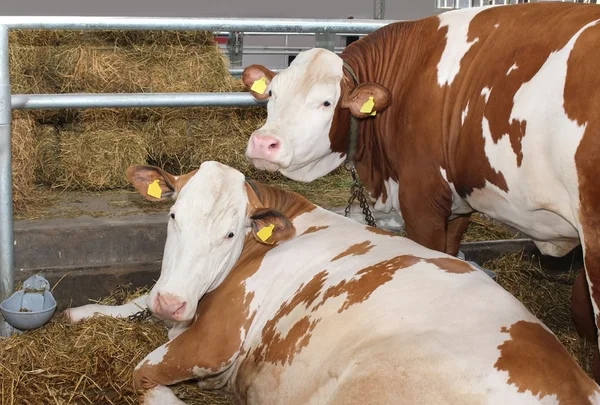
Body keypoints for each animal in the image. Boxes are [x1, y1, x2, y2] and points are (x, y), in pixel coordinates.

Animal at [67, 162, 600, 404]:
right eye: (173, 215)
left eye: (231, 233)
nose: (173, 303)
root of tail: (578, 380)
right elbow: (134, 299)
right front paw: (80, 312)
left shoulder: (215, 339)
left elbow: (142, 372)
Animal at [241, 1, 600, 382]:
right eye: (272, 94)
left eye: (326, 102)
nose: (264, 144)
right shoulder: (456, 203)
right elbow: (452, 254)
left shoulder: (421, 199)